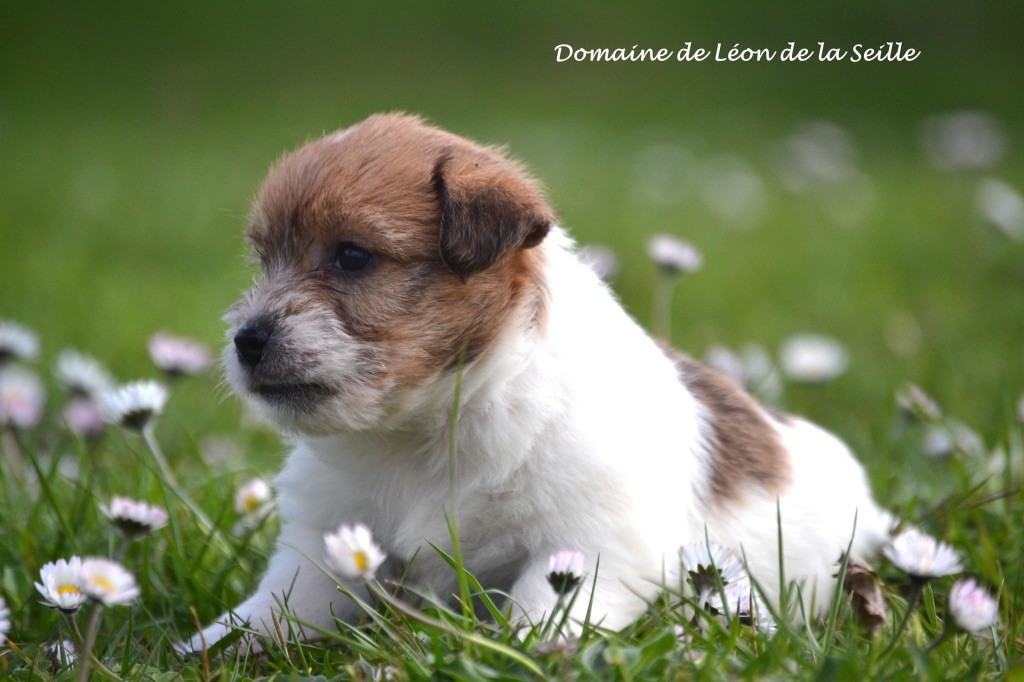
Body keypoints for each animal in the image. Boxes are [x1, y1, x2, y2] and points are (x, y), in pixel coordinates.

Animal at [184, 114, 888, 651]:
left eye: (352, 256)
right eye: (265, 260)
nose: (248, 340)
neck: (426, 428)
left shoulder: (584, 544)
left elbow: (535, 619)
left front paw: (523, 654)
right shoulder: (323, 544)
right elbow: (276, 606)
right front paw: (210, 648)